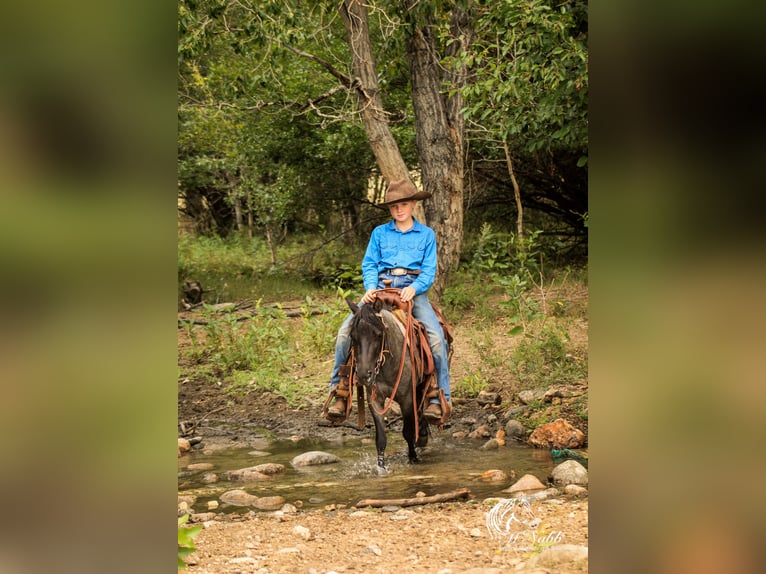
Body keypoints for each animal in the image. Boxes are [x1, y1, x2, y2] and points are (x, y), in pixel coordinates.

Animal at [348, 294, 432, 474]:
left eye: (379, 335)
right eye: (352, 336)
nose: (364, 375)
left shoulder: (406, 398)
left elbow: (407, 432)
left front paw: (413, 458)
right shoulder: (374, 399)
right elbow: (381, 438)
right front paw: (381, 468)